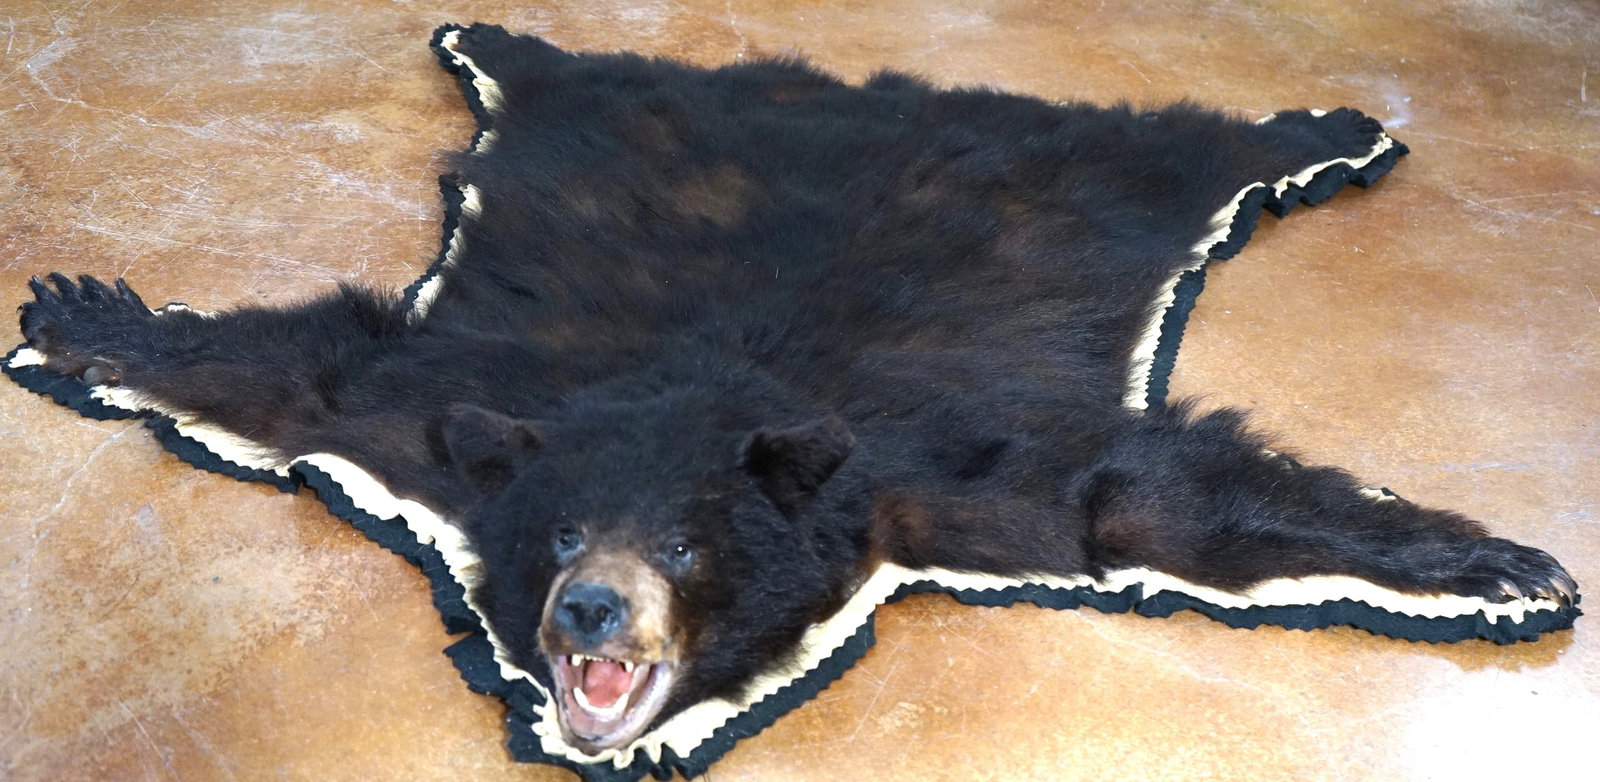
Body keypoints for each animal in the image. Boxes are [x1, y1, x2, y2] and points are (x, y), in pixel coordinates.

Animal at [13, 23, 1577, 759]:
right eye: (562, 536)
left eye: (685, 547)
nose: (588, 612)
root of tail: (866, 90)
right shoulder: (437, 421)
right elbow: (311, 369)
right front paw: (85, 315)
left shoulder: (930, 474)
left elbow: (1139, 497)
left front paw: (1496, 562)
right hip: (605, 106)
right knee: (567, 65)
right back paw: (495, 41)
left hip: (1100, 174)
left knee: (1184, 144)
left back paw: (1330, 125)